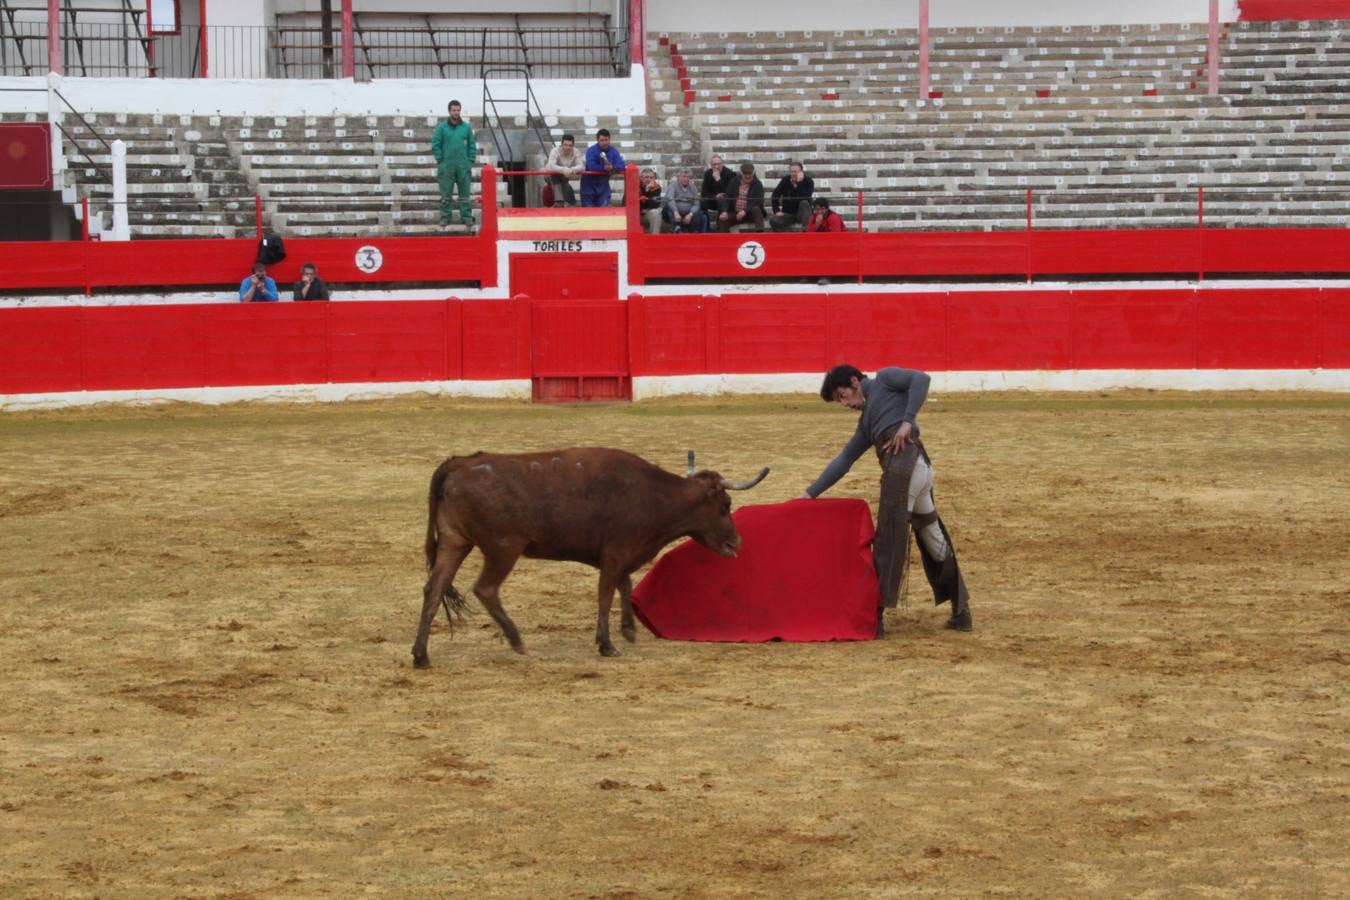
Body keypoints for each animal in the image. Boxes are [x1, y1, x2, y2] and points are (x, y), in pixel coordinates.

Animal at [410, 447, 772, 666]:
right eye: (725, 506)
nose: (737, 542)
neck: (654, 496)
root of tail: (459, 463)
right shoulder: (615, 555)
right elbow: (606, 593)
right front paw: (607, 644)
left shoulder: (620, 556)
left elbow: (625, 586)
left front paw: (628, 630)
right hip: (503, 548)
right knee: (485, 589)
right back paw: (516, 640)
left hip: (455, 542)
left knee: (434, 588)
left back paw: (421, 656)